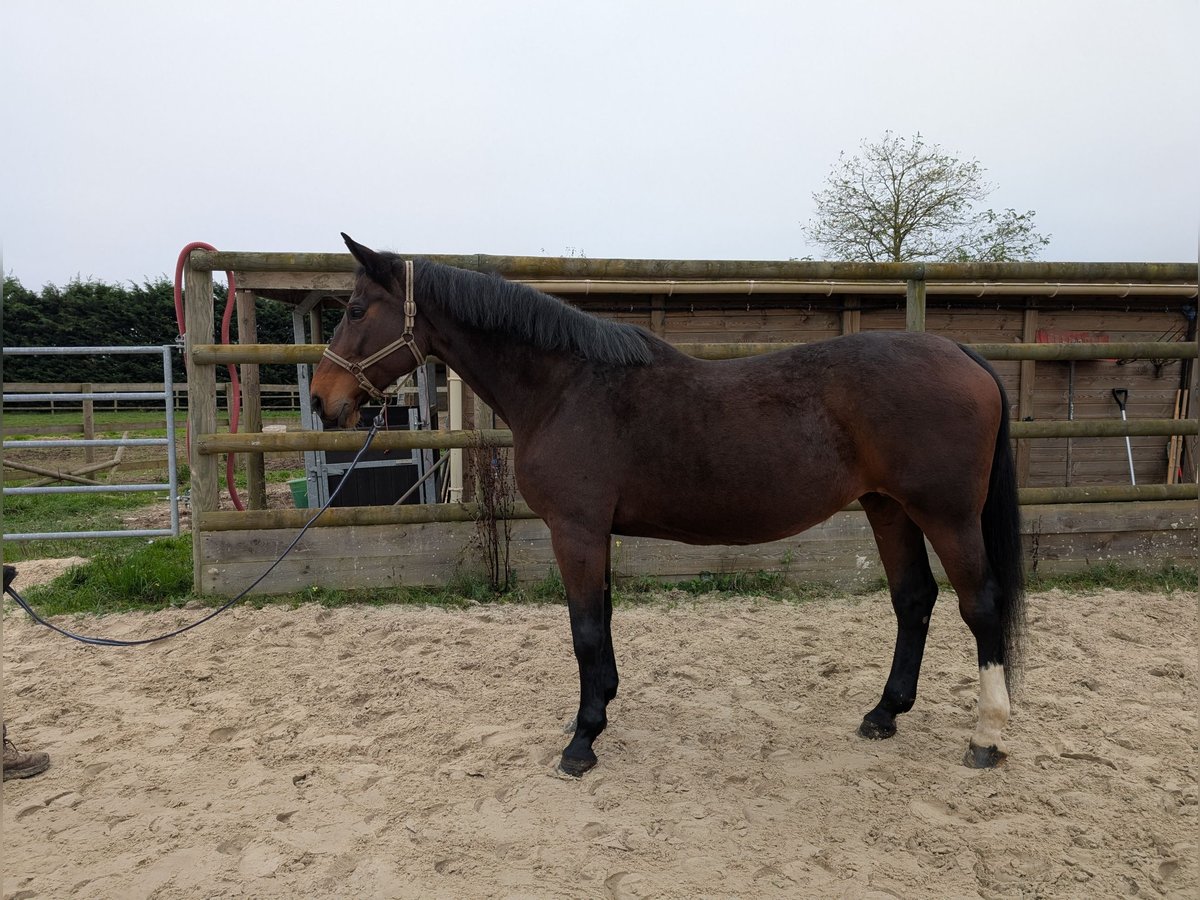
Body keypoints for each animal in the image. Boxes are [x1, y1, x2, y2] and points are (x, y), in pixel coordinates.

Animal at [309, 236, 1022, 777]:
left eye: (354, 309)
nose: (320, 400)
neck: (566, 387)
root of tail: (961, 353)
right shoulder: (596, 532)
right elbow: (602, 622)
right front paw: (599, 712)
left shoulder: (576, 530)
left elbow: (585, 629)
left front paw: (582, 742)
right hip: (887, 508)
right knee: (913, 600)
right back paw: (883, 714)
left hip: (946, 515)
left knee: (980, 605)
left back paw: (986, 737)